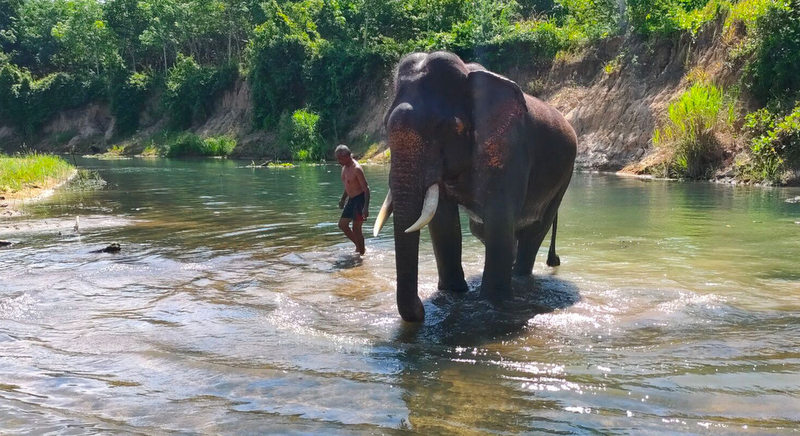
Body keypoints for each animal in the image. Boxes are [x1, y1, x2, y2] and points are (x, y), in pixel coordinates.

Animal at [373, 51, 577, 322]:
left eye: (449, 127)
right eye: (385, 124)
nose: (421, 309)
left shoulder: (510, 148)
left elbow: (499, 217)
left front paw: (492, 302)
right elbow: (443, 220)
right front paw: (451, 293)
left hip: (565, 175)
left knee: (534, 230)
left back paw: (519, 276)